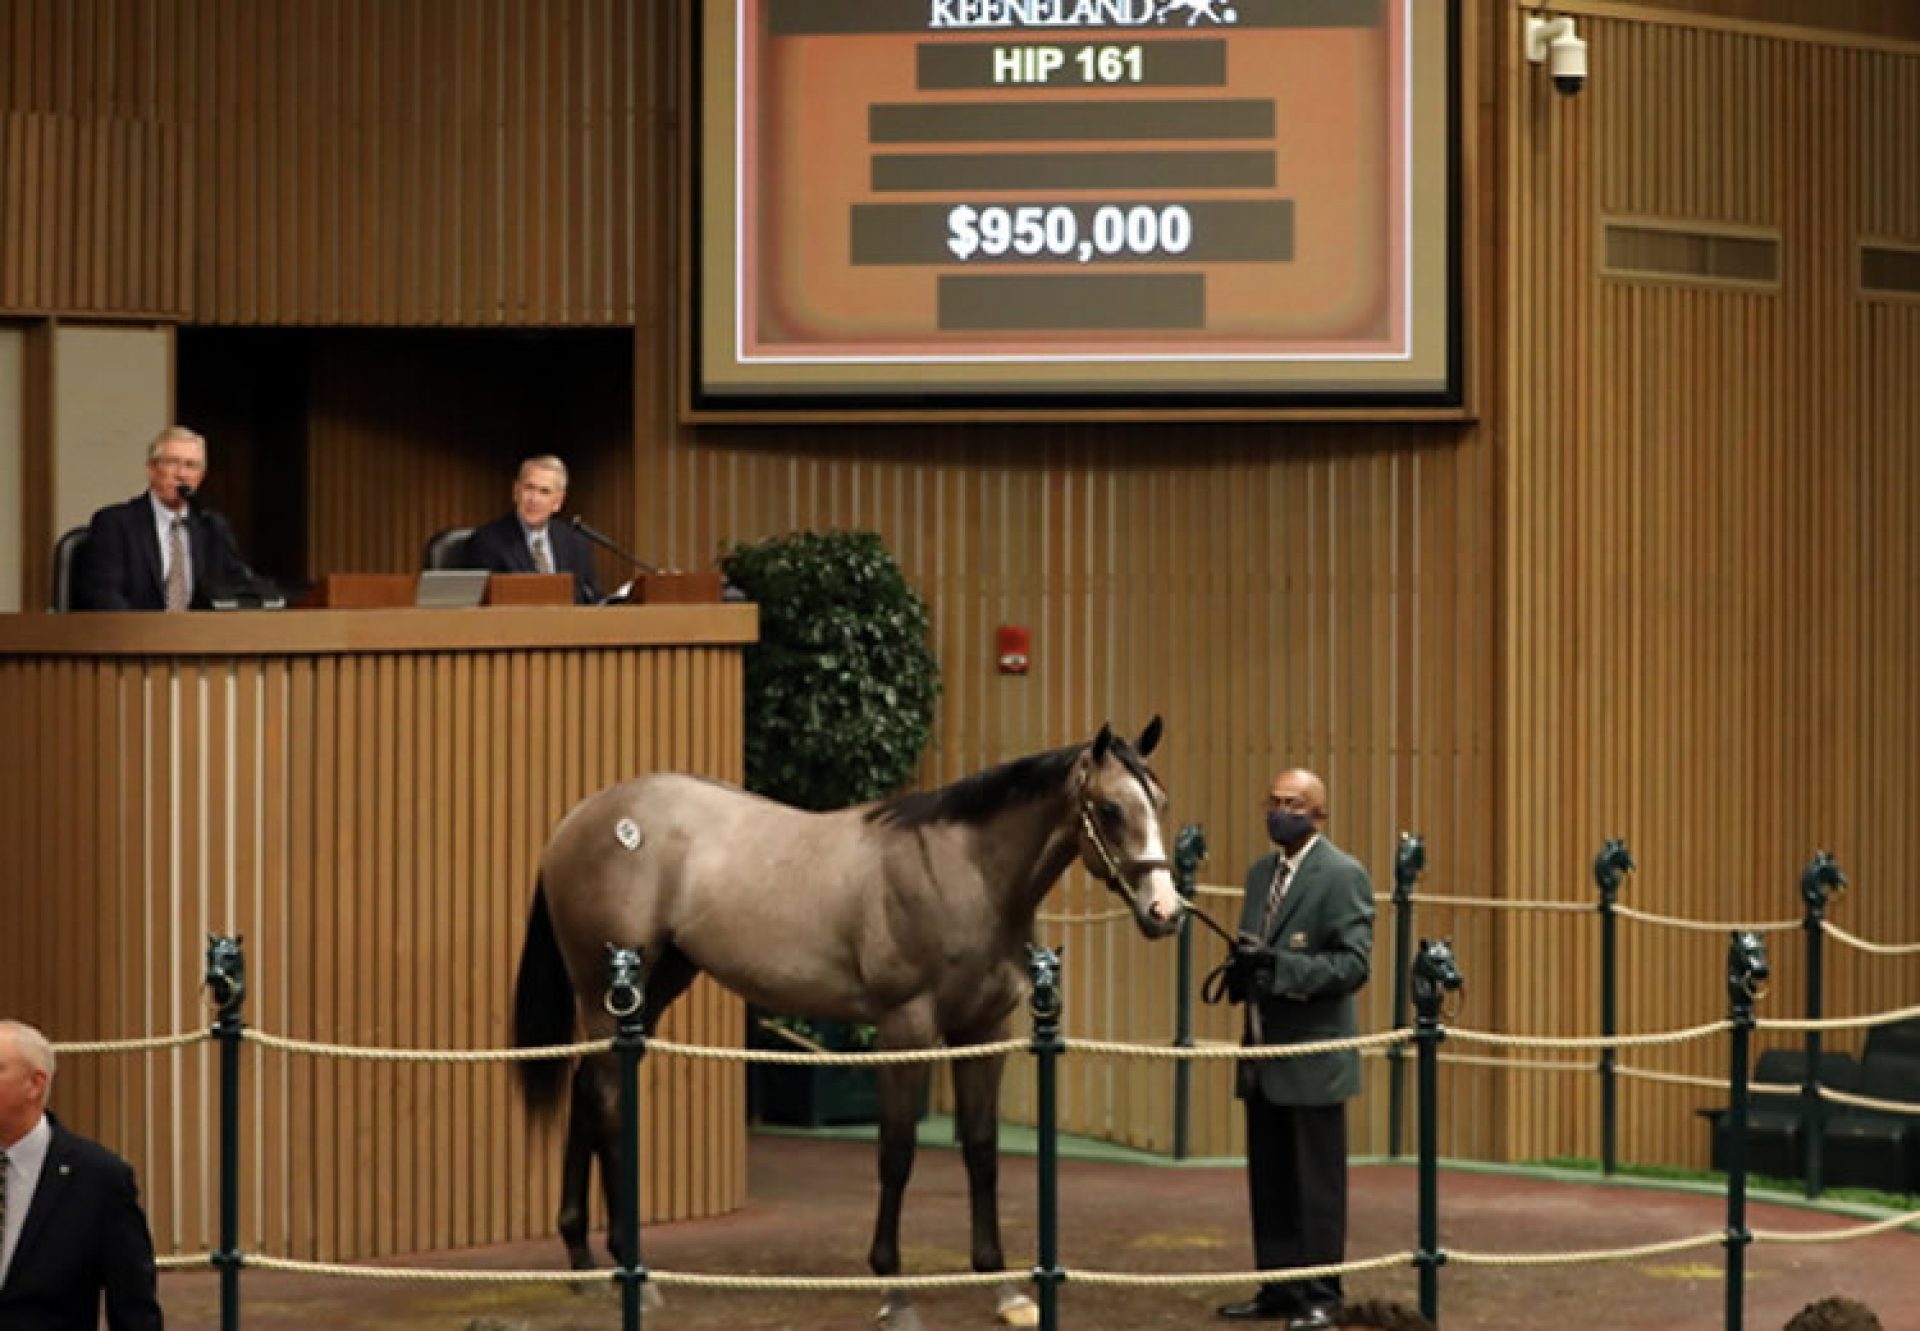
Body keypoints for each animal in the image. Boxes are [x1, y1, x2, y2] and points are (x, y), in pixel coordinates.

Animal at [506, 710, 1182, 1321]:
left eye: (1160, 802)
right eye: (1112, 809)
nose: (1166, 912)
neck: (963, 873)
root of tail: (576, 820)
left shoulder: (985, 1031)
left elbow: (983, 1151)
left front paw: (1006, 1288)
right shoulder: (905, 1030)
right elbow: (897, 1154)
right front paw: (893, 1290)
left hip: (650, 987)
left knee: (586, 1094)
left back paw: (584, 1261)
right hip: (607, 993)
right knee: (605, 1102)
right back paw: (630, 1272)